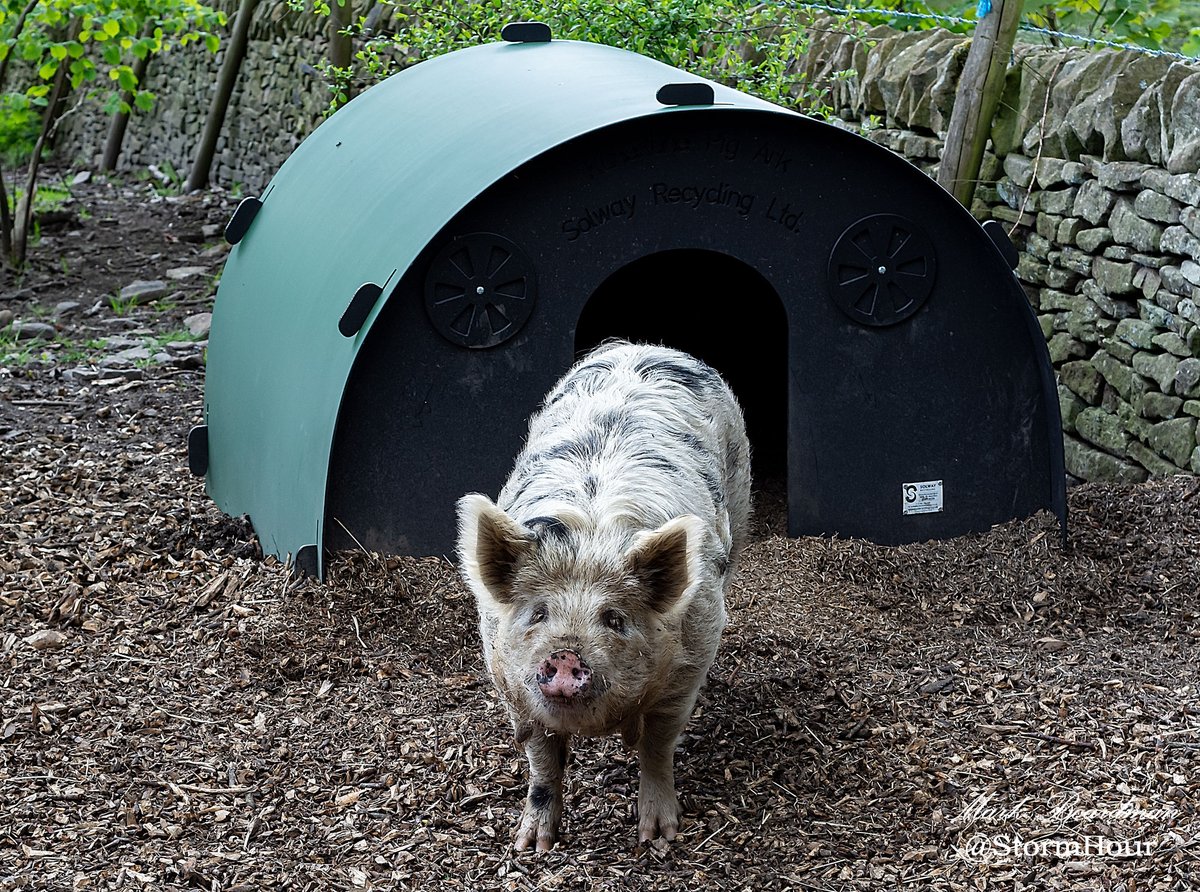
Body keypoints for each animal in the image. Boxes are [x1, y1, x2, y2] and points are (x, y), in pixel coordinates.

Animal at [457, 340, 751, 850]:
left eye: (614, 618)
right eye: (539, 613)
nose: (565, 655)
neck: (588, 537)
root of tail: (645, 345)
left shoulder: (689, 661)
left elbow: (658, 746)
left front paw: (658, 837)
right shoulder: (508, 680)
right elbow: (541, 760)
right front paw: (532, 845)